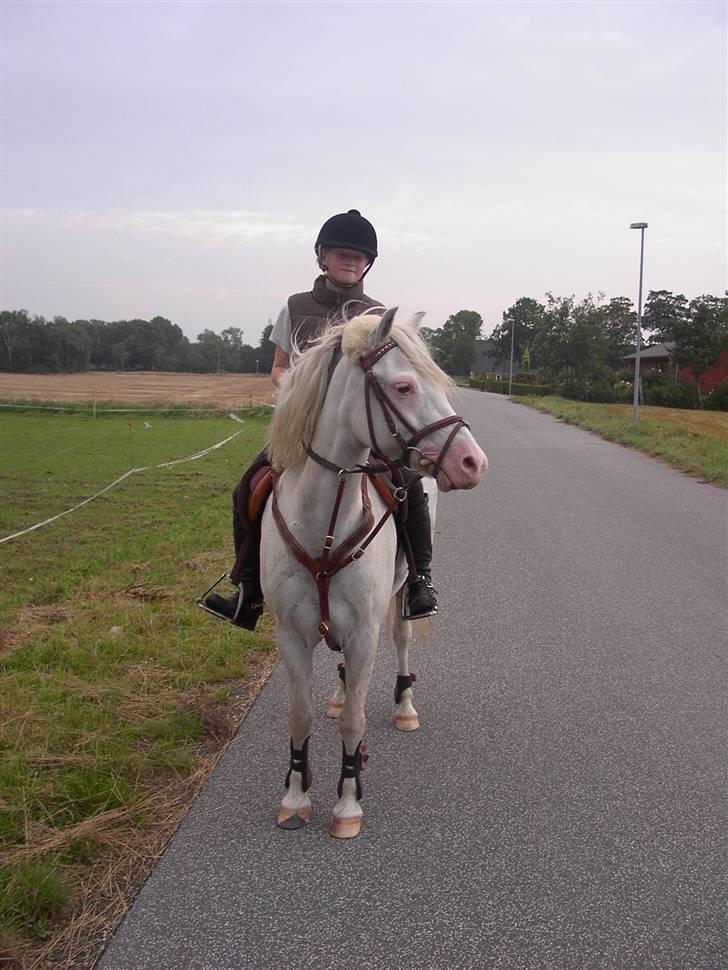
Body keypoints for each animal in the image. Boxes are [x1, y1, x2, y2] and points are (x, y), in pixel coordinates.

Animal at [258, 306, 486, 836]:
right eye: (404, 387)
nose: (473, 462)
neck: (323, 526)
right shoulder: (290, 635)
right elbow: (299, 717)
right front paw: (295, 796)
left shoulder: (365, 633)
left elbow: (355, 723)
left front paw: (347, 804)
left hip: (402, 598)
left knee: (402, 641)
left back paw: (404, 705)